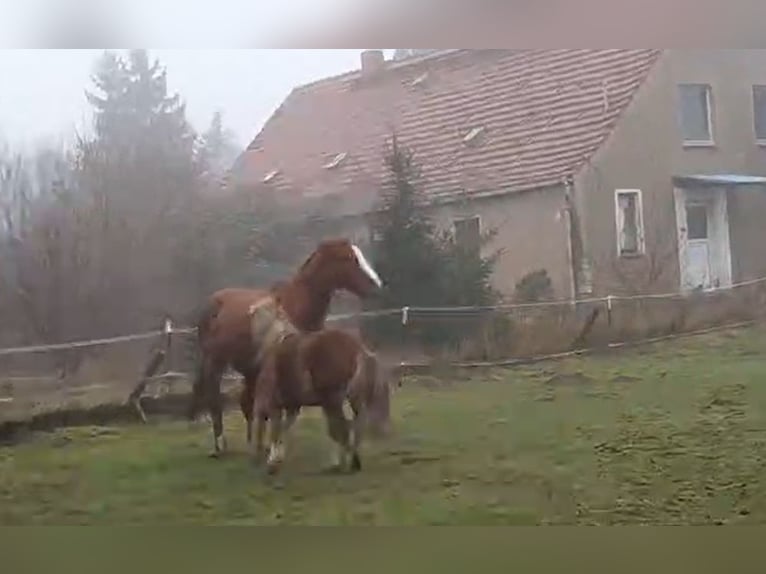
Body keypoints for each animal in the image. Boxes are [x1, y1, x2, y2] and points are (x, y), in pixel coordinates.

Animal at [186, 238, 383, 458]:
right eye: (348, 258)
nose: (377, 287)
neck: (296, 305)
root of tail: (213, 302)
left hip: (248, 369)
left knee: (246, 403)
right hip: (215, 361)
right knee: (215, 399)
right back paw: (220, 445)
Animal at [250, 311, 393, 475]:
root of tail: (358, 349)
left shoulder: (273, 405)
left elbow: (275, 430)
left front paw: (272, 462)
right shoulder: (293, 407)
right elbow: (283, 429)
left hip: (333, 400)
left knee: (341, 427)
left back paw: (341, 464)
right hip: (351, 400)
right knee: (355, 425)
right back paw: (352, 462)